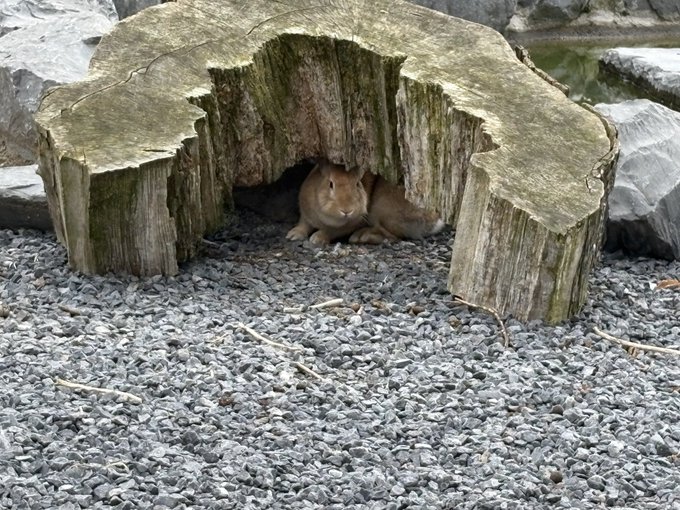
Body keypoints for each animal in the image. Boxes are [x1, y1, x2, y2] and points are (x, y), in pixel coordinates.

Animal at [286, 159, 444, 245]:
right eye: (331, 184)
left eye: (357, 184)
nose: (346, 210)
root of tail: (435, 222)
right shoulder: (306, 214)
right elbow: (303, 224)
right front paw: (293, 235)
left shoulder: (346, 226)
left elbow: (330, 231)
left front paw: (317, 238)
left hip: (383, 210)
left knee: (392, 236)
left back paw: (360, 237)